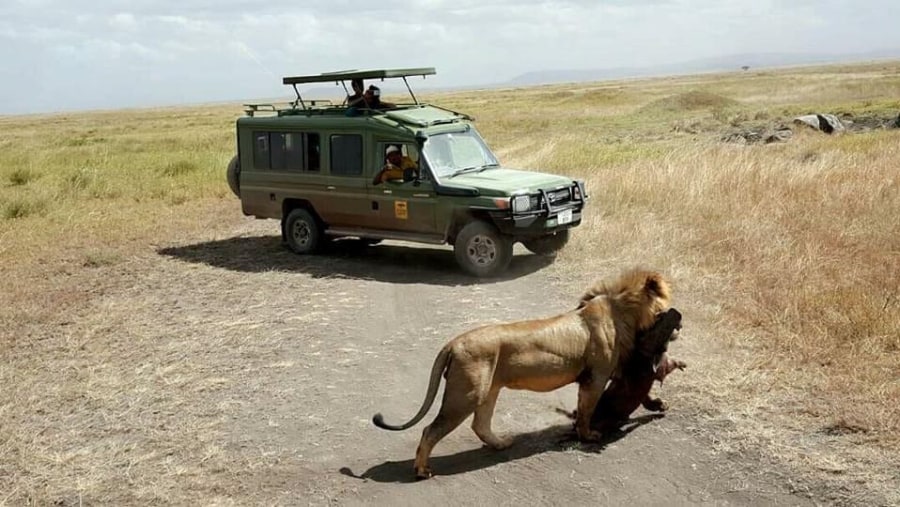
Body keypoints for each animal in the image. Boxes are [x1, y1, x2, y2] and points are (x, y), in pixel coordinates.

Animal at [370, 268, 672, 478]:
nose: (677, 317)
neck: (624, 313)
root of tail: (453, 343)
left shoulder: (617, 370)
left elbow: (639, 391)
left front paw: (658, 404)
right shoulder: (595, 377)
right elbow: (586, 411)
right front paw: (588, 436)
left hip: (488, 390)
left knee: (480, 425)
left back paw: (501, 444)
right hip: (465, 394)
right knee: (430, 430)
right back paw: (422, 470)